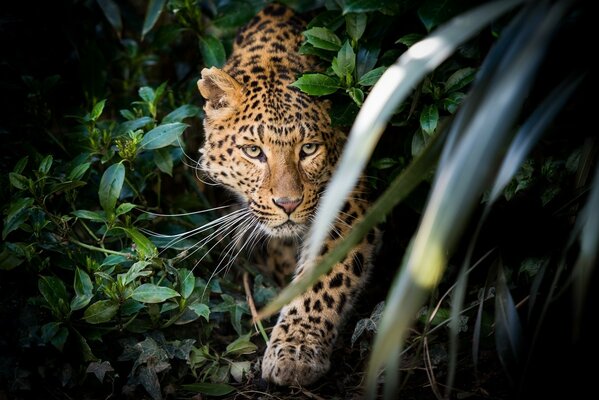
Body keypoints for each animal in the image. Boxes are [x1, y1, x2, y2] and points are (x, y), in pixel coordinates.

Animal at [197, 1, 380, 386]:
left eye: (308, 149)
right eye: (254, 151)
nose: (288, 204)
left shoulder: (348, 198)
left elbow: (325, 277)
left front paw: (295, 351)